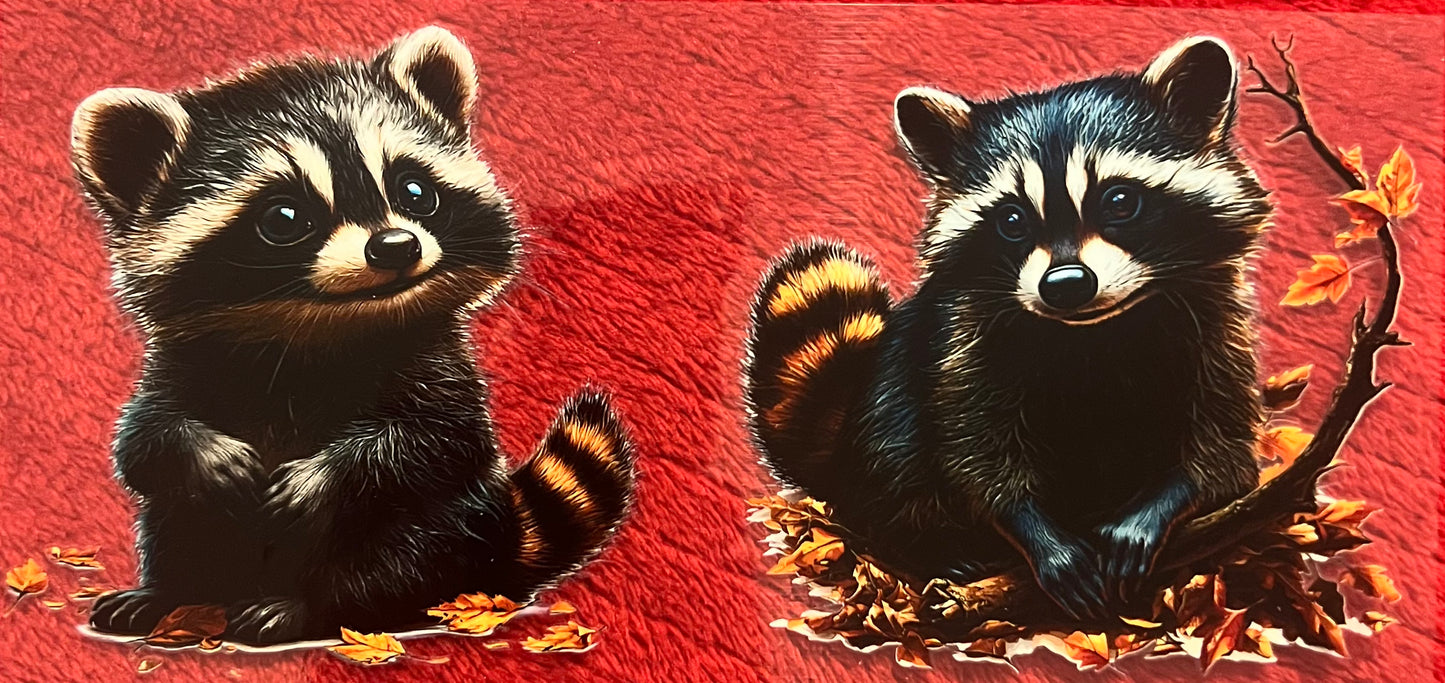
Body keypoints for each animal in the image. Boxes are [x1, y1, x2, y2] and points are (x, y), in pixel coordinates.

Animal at [71, 27, 636, 643]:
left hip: (452, 526)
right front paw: (202, 452)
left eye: (414, 191)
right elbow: (143, 442)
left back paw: (312, 606)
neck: (319, 332)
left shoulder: (441, 372)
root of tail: (501, 536)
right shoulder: (185, 365)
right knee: (178, 524)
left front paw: (329, 474)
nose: (395, 246)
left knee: (400, 556)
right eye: (285, 218)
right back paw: (170, 592)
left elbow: (433, 443)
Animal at [747, 37, 1269, 619]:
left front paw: (1156, 508)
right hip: (886, 409)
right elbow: (974, 448)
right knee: (894, 458)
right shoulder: (963, 340)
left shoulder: (1218, 323)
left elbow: (1222, 448)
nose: (1066, 284)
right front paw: (1035, 531)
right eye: (1013, 220)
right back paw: (926, 546)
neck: (1093, 331)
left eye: (1120, 201)